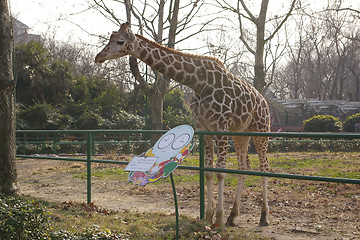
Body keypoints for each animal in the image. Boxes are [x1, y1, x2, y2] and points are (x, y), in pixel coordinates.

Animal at [95, 22, 270, 227]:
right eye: (110, 38)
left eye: (120, 41)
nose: (98, 56)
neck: (199, 83)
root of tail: (264, 102)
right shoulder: (204, 127)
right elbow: (209, 171)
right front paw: (209, 216)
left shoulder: (221, 125)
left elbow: (220, 171)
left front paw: (218, 219)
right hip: (241, 133)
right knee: (244, 167)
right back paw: (232, 216)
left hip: (261, 130)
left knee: (264, 167)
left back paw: (264, 217)